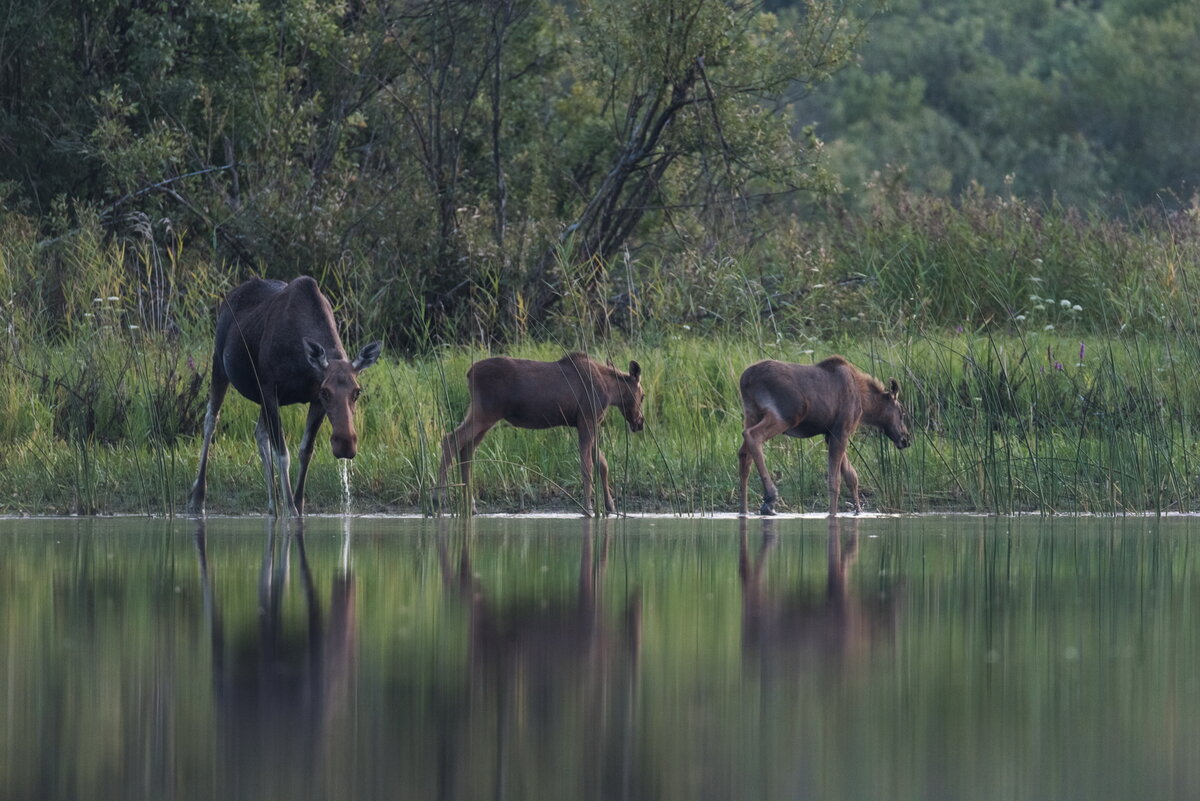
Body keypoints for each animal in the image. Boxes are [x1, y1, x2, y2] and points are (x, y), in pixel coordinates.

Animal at [186, 275, 379, 515]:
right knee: (211, 420)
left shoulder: (310, 400)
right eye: (326, 391)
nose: (345, 443)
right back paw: (197, 498)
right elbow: (283, 453)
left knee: (259, 432)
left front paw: (297, 504)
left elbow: (305, 451)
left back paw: (273, 505)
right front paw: (291, 510)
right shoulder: (271, 390)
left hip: (257, 394)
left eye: (357, 391)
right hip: (219, 365)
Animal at [439, 352, 648, 515]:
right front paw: (588, 508)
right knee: (450, 440)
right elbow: (586, 466)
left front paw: (610, 505)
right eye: (643, 395)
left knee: (466, 449)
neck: (611, 393)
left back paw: (470, 506)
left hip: (483, 417)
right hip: (484, 413)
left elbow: (602, 464)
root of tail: (468, 373)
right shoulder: (586, 420)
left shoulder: (591, 423)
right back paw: (438, 499)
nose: (640, 422)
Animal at [734, 354, 912, 515]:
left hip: (752, 413)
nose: (905, 439)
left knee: (744, 454)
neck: (865, 404)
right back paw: (770, 498)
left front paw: (858, 511)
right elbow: (835, 480)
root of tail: (745, 379)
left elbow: (851, 476)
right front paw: (832, 513)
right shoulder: (841, 431)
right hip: (785, 415)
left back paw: (744, 510)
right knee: (752, 436)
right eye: (901, 411)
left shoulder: (830, 434)